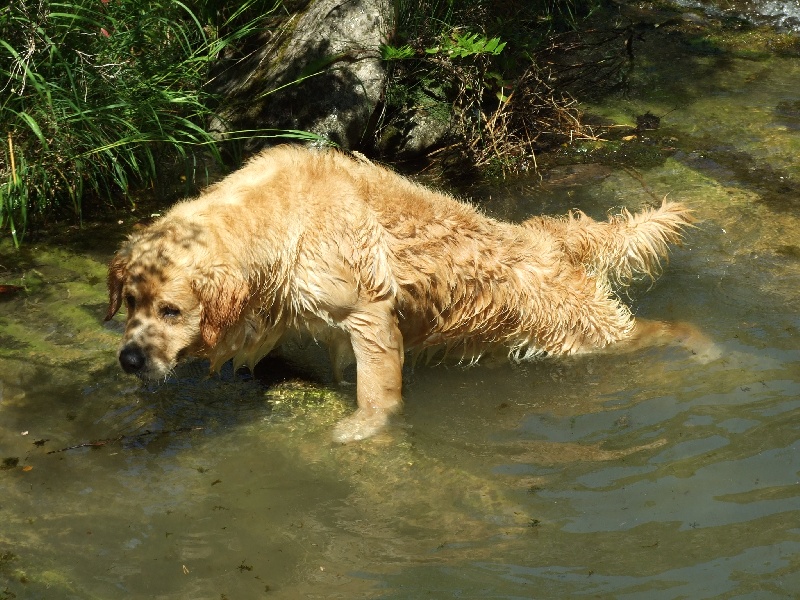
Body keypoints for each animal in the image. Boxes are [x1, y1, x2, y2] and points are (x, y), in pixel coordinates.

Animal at [108, 145, 700, 440]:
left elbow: (375, 389)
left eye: (171, 309)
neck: (280, 219)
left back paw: (704, 350)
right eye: (131, 302)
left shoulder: (369, 312)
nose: (130, 360)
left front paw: (361, 429)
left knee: (662, 329)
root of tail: (547, 238)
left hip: (577, 327)